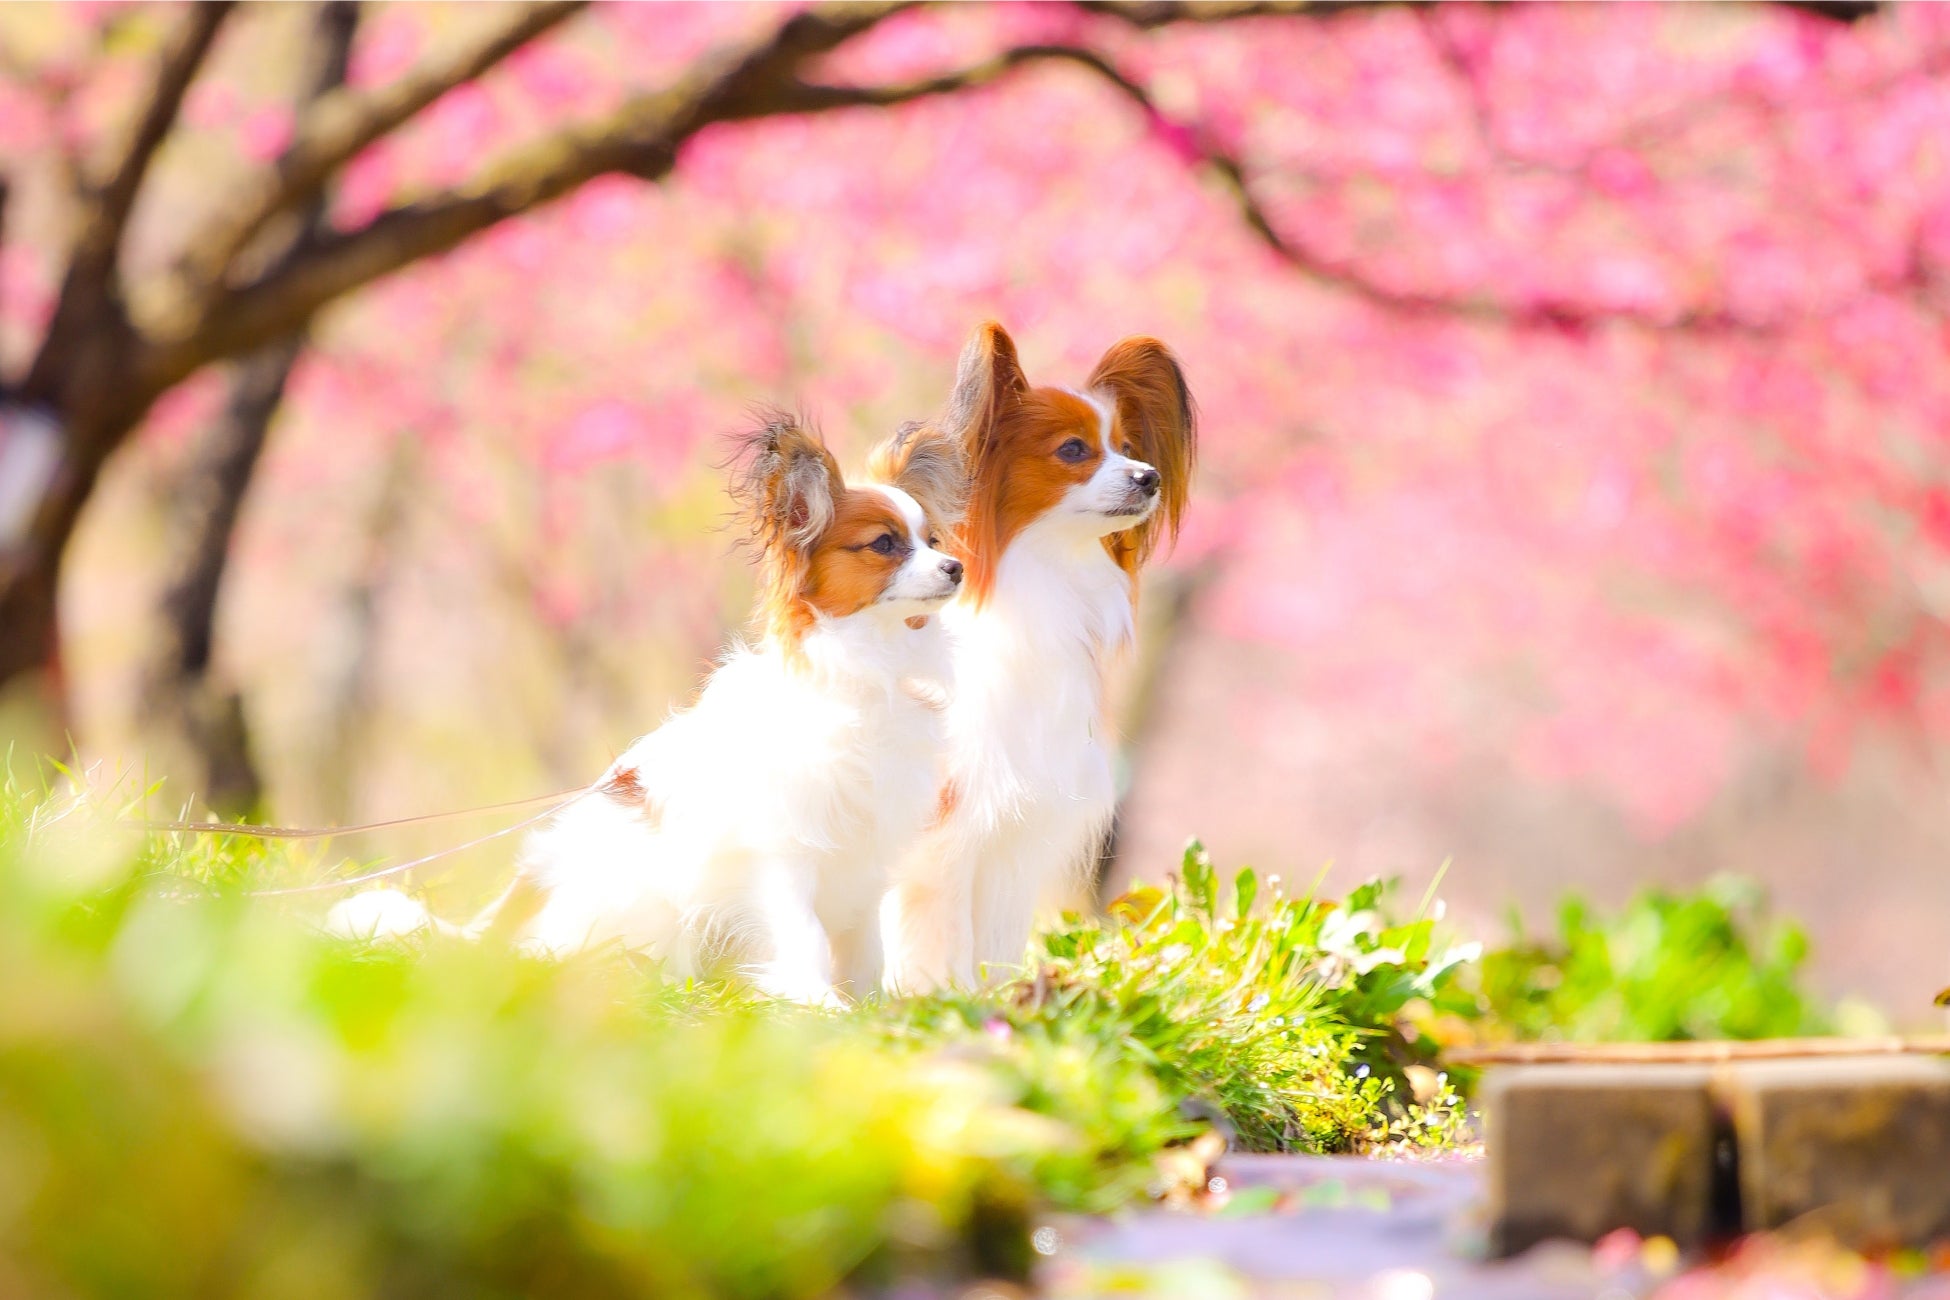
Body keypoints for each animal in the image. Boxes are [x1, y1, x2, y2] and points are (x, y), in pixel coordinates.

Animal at [343, 417, 975, 1005]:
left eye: (934, 539)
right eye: (885, 544)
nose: (956, 568)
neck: (866, 675)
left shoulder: (867, 853)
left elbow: (866, 945)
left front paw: (871, 1005)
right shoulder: (781, 849)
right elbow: (805, 937)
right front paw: (815, 1001)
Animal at [881, 323, 1193, 986]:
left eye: (1127, 445)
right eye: (1074, 450)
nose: (1150, 476)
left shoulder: (1016, 830)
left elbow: (993, 949)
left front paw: (998, 1000)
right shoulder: (946, 831)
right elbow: (943, 942)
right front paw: (939, 1000)